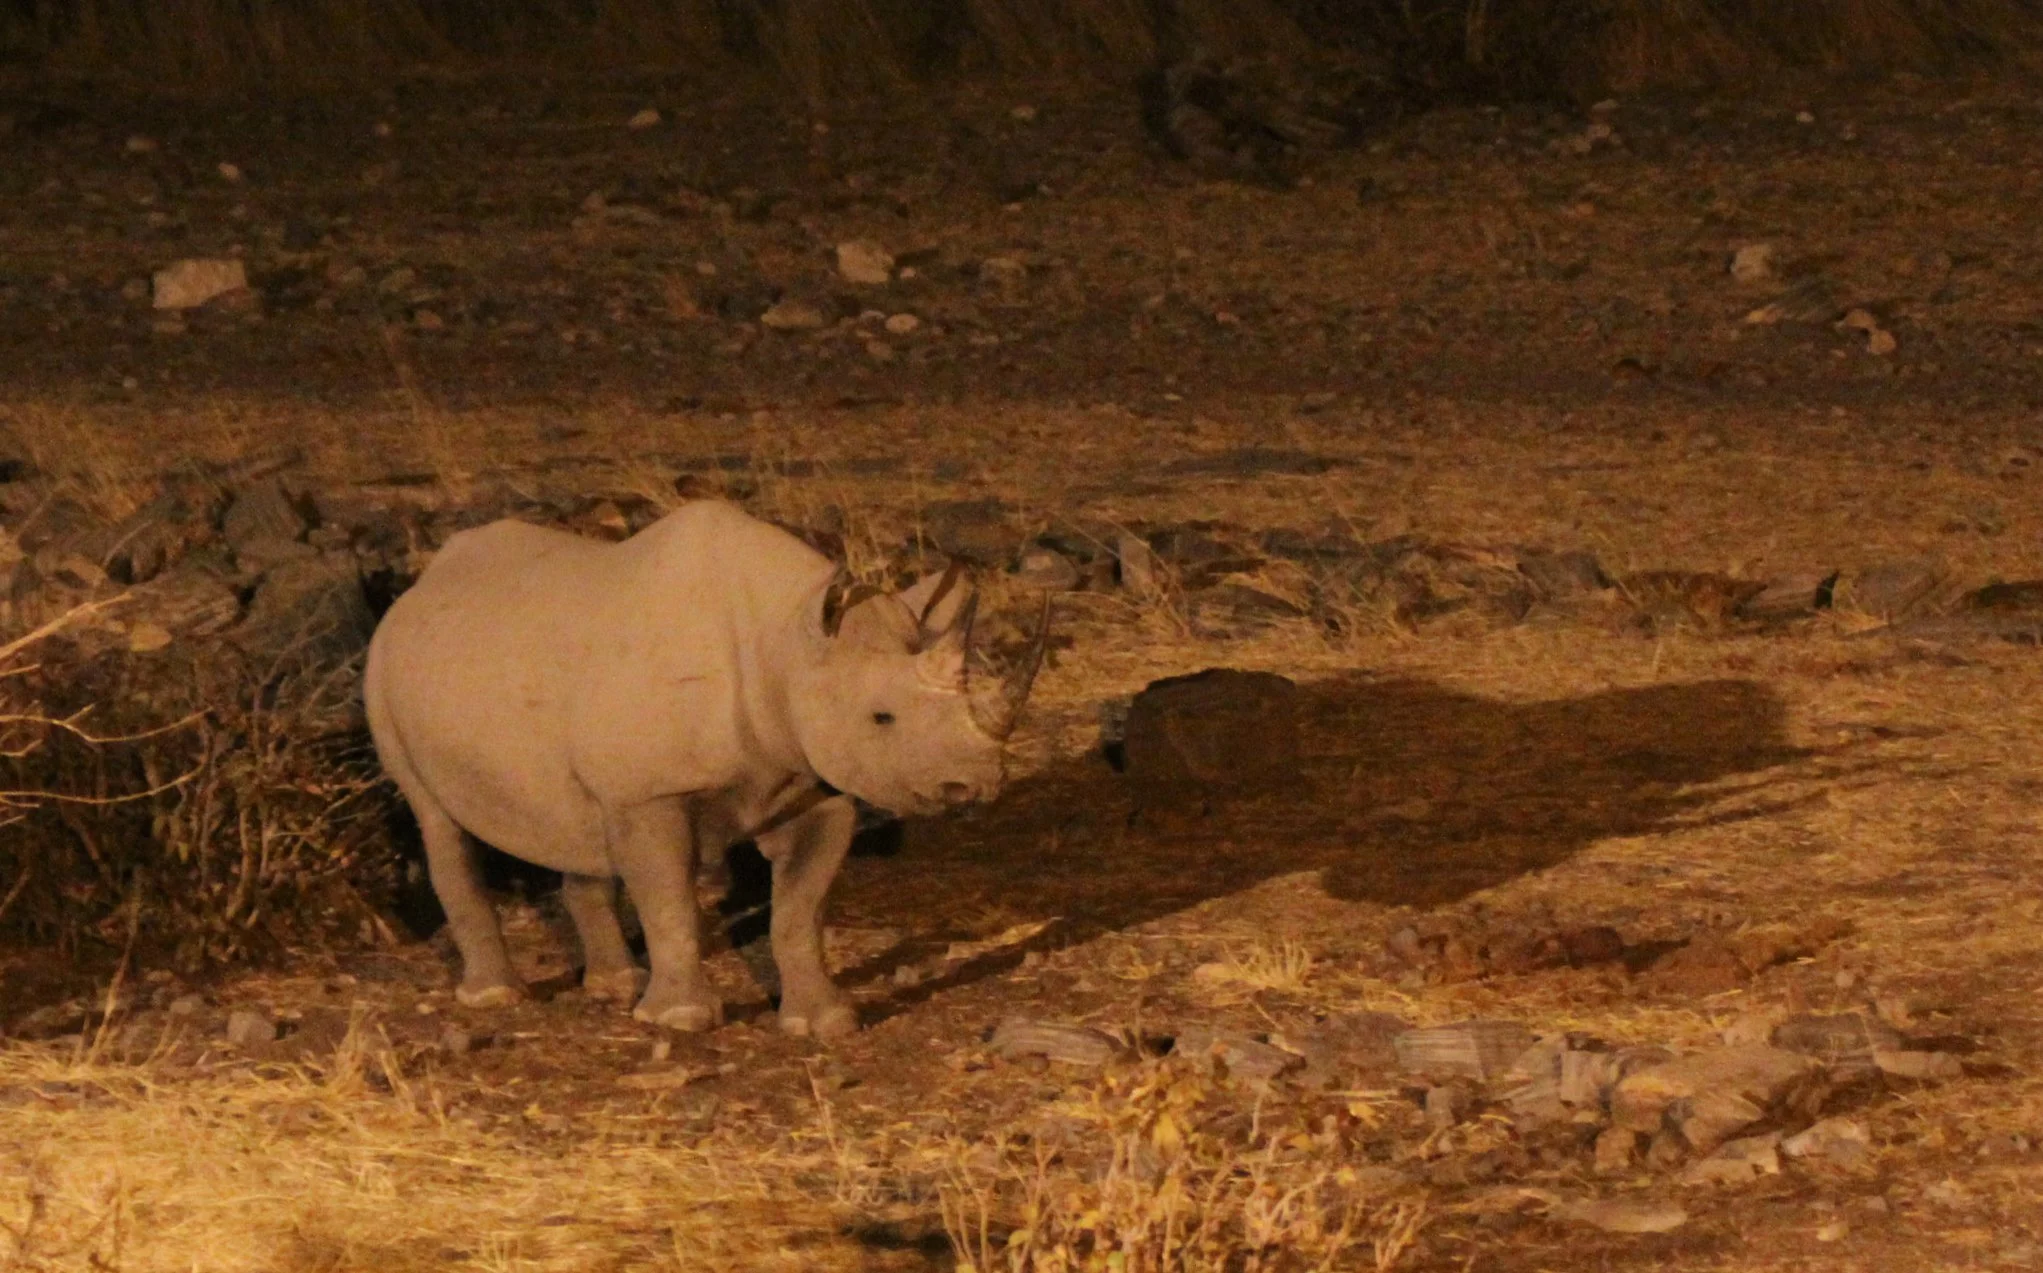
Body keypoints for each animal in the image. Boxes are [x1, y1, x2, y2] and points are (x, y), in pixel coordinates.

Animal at [363, 500, 1046, 1038]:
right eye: (881, 718)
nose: (975, 784)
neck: (786, 644)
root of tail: (418, 589)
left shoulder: (818, 784)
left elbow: (800, 911)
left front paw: (826, 1023)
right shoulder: (652, 792)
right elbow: (669, 900)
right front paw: (680, 1020)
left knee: (575, 824)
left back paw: (611, 986)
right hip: (381, 670)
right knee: (437, 819)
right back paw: (495, 998)